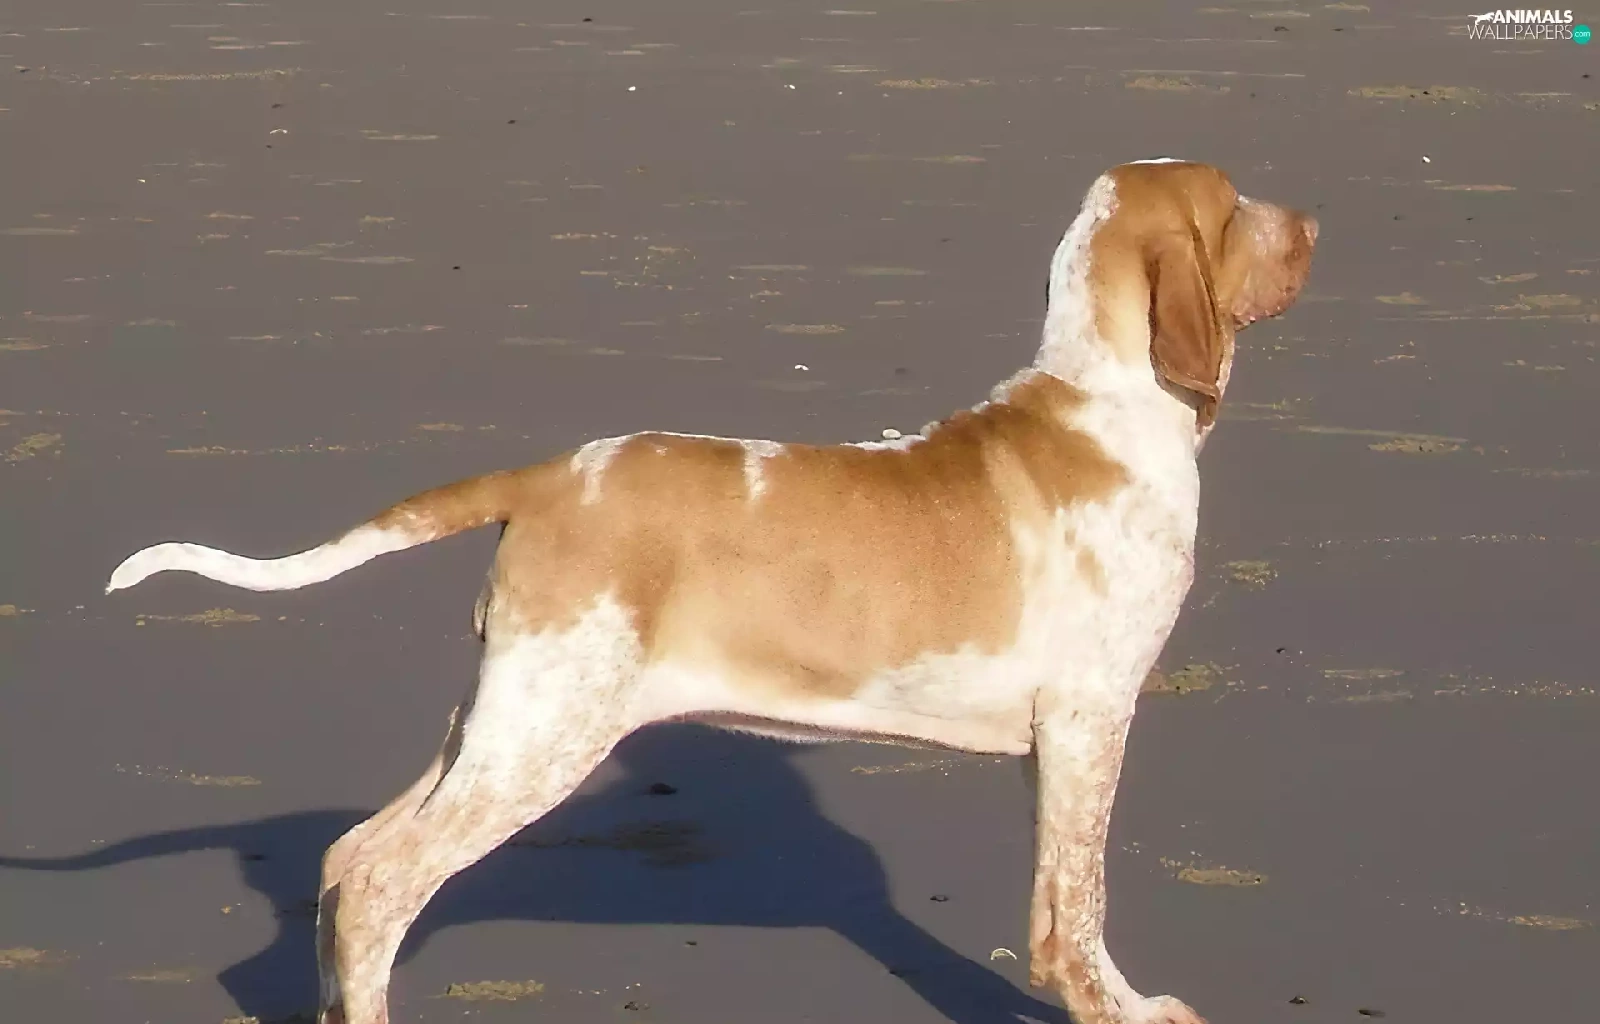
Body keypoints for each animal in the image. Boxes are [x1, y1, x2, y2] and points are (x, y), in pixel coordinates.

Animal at [106, 158, 1316, 1024]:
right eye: (1234, 204)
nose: (1312, 223)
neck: (1105, 402)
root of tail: (547, 476)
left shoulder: (1057, 740)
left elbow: (1056, 903)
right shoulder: (1089, 718)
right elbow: (1078, 912)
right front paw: (1129, 1009)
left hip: (503, 720)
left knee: (349, 856)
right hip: (543, 735)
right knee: (379, 884)